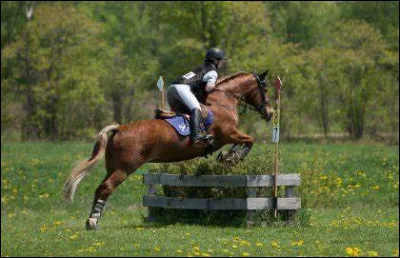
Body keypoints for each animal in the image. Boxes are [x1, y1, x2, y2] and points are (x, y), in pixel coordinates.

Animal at [63, 70, 276, 230]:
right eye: (264, 88)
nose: (270, 113)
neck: (222, 100)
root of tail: (120, 128)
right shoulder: (227, 134)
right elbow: (249, 140)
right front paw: (233, 157)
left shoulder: (229, 136)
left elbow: (244, 142)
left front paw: (228, 157)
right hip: (124, 168)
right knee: (107, 187)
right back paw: (92, 221)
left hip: (112, 166)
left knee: (100, 188)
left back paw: (93, 218)